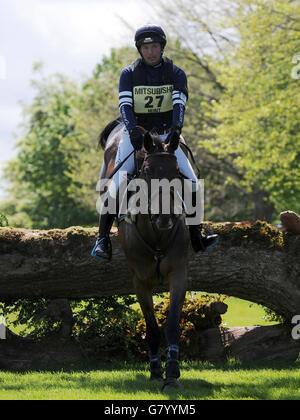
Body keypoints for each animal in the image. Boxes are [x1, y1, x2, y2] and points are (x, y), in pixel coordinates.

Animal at [98, 119, 190, 390]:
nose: (165, 218)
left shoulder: (178, 274)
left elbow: (172, 324)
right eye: (148, 172)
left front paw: (172, 373)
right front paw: (156, 371)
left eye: (176, 172)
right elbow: (151, 328)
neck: (157, 234)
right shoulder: (140, 281)